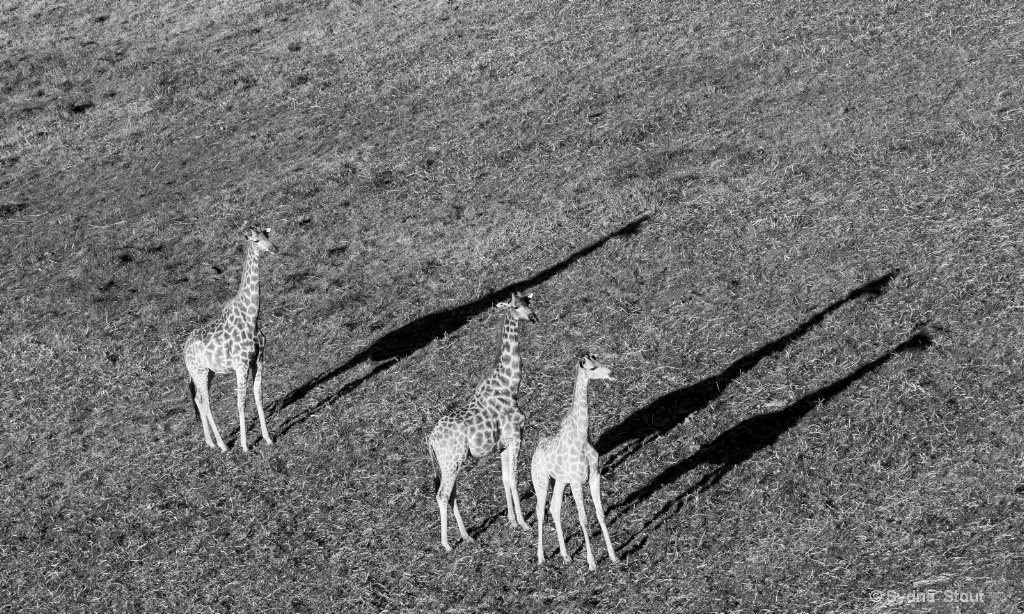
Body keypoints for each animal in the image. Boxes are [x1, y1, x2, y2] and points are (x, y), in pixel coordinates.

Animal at [184, 225, 278, 450]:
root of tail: (183, 351)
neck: (252, 317)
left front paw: (268, 438)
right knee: (206, 401)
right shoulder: (241, 365)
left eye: (267, 236)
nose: (274, 249)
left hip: (207, 372)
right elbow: (241, 402)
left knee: (199, 399)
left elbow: (258, 396)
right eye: (255, 241)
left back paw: (211, 443)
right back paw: (223, 445)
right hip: (199, 371)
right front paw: (245, 445)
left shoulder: (259, 359)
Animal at [425, 290, 540, 552]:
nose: (533, 317)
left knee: (452, 494)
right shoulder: (516, 437)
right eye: (515, 306)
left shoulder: (503, 445)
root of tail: (431, 440)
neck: (510, 386)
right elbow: (515, 478)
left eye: (528, 302)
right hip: (452, 461)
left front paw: (511, 521)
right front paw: (524, 524)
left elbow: (505, 478)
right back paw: (447, 545)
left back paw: (467, 536)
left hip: (450, 464)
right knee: (442, 495)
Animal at [532, 352, 618, 573]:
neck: (582, 438)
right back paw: (541, 557)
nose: (611, 373)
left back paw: (565, 556)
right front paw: (592, 563)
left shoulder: (594, 476)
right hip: (541, 481)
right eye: (592, 368)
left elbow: (600, 514)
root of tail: (535, 451)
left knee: (554, 508)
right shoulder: (578, 482)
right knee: (539, 511)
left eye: (599, 360)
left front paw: (613, 556)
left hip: (561, 481)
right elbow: (584, 520)